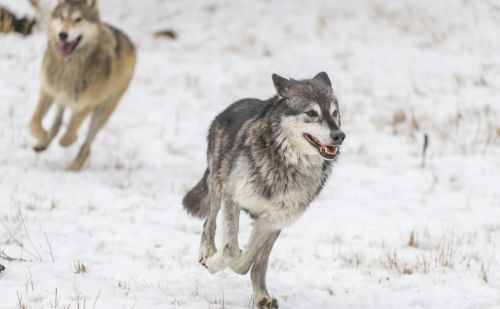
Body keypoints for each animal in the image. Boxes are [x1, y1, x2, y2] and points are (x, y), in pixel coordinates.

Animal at [28, 0, 136, 170]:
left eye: (78, 19)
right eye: (62, 17)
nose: (63, 34)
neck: (69, 67)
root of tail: (129, 41)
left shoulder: (85, 106)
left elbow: (67, 136)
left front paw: (72, 138)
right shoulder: (48, 91)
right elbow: (33, 123)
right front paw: (43, 137)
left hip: (101, 112)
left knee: (87, 147)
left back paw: (73, 169)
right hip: (62, 98)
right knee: (58, 123)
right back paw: (44, 143)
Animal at [183, 71, 344, 306]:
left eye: (335, 113)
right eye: (311, 113)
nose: (339, 135)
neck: (287, 166)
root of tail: (232, 106)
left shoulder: (274, 220)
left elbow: (252, 263)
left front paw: (261, 295)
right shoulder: (233, 198)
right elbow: (232, 251)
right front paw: (213, 263)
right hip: (218, 187)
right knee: (208, 223)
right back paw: (207, 253)